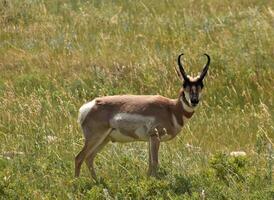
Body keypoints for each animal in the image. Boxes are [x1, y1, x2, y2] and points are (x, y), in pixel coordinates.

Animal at [74, 52, 210, 178]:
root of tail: (90, 105)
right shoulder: (155, 137)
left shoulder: (150, 139)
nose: (194, 101)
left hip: (104, 139)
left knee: (89, 158)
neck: (171, 108)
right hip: (95, 138)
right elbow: (155, 163)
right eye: (184, 84)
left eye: (201, 85)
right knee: (79, 157)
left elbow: (150, 164)